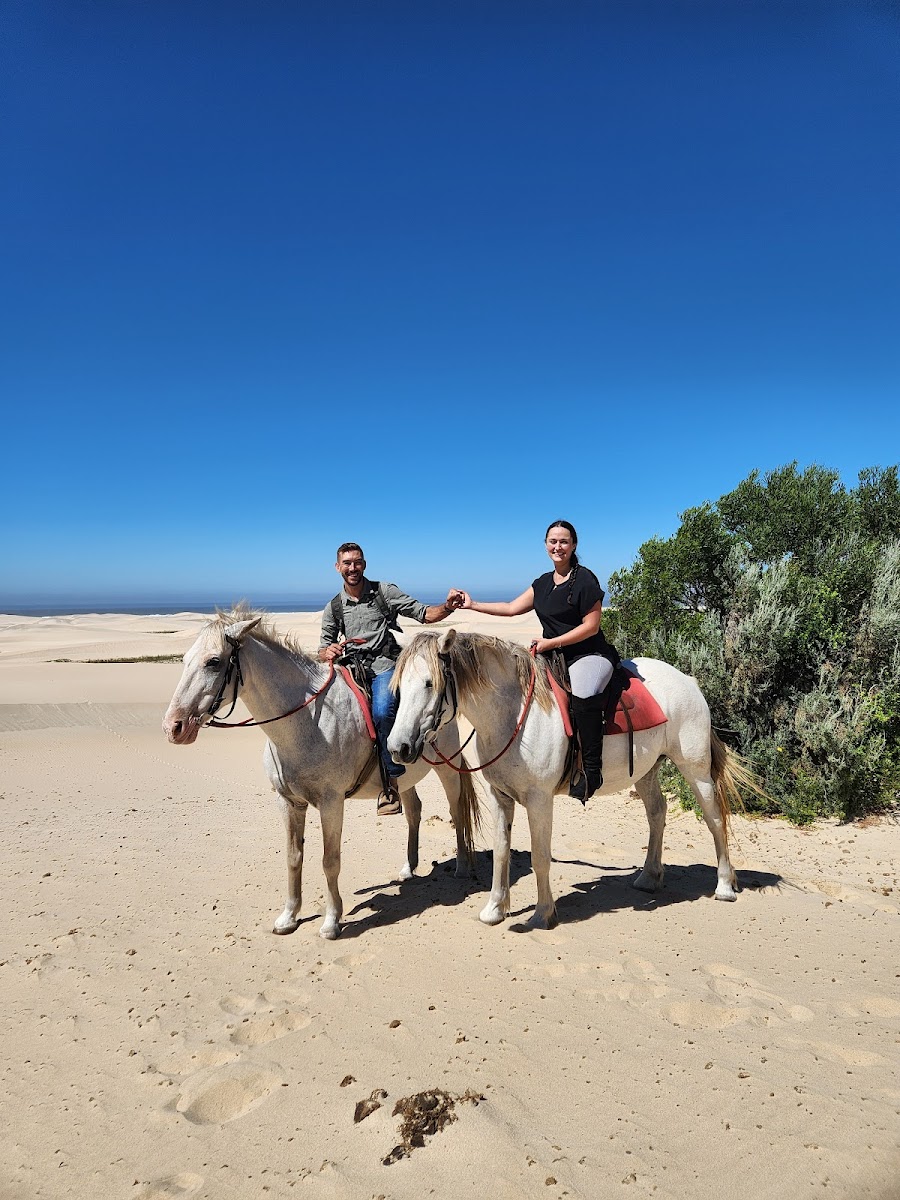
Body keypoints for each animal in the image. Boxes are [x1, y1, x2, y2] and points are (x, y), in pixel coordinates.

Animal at [162, 609, 479, 940]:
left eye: (213, 661)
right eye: (184, 660)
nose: (173, 727)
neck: (304, 723)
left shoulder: (331, 803)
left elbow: (330, 861)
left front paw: (331, 921)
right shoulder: (288, 802)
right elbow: (293, 857)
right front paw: (288, 917)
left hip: (446, 767)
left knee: (456, 809)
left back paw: (462, 866)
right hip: (403, 775)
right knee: (414, 811)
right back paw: (408, 867)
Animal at [388, 628, 761, 931]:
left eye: (429, 683)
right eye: (399, 686)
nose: (398, 747)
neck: (514, 716)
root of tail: (689, 681)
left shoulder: (539, 800)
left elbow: (540, 857)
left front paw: (543, 914)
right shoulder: (500, 796)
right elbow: (501, 851)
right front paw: (494, 909)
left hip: (695, 769)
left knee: (714, 819)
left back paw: (724, 886)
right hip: (646, 771)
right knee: (657, 813)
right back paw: (649, 877)